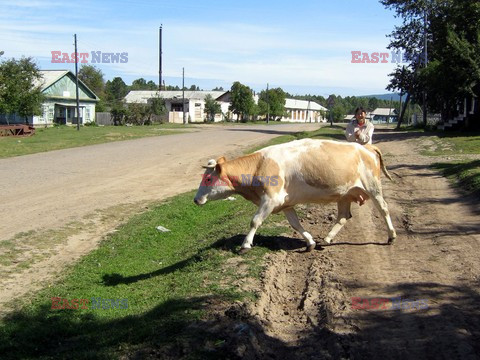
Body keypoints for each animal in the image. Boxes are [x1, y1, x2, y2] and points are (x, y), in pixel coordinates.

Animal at [193, 138, 396, 253]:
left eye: (208, 179)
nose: (196, 199)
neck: (259, 165)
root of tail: (366, 147)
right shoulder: (285, 204)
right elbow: (296, 224)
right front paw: (310, 242)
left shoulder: (270, 199)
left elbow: (255, 221)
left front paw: (245, 245)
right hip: (344, 194)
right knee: (343, 217)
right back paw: (327, 239)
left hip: (372, 186)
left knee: (384, 209)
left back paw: (391, 236)